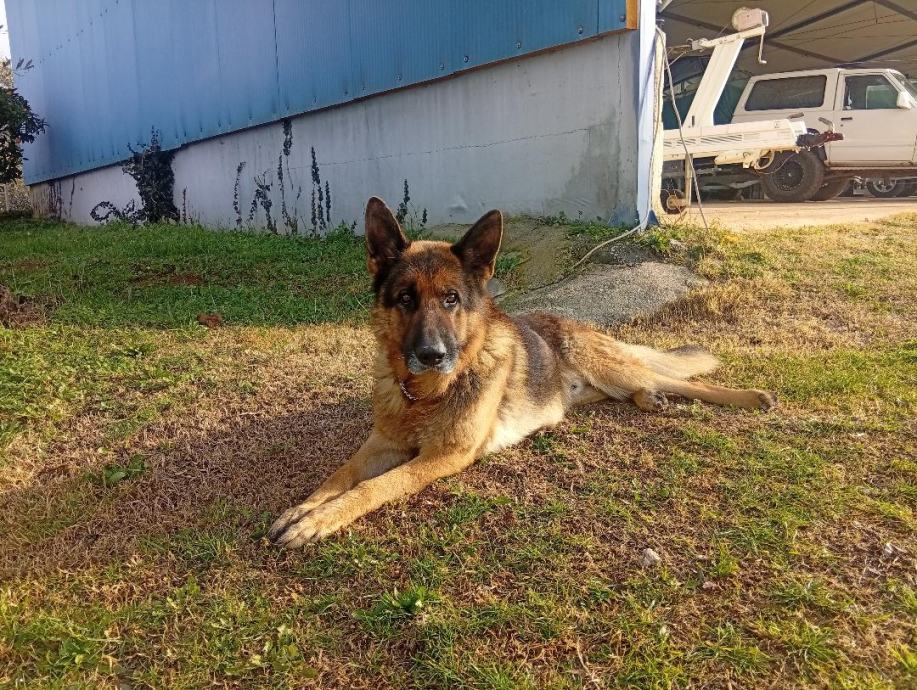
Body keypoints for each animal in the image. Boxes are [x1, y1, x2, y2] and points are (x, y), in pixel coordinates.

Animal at [269, 197, 776, 547]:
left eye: (451, 299)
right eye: (406, 299)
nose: (432, 354)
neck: (427, 392)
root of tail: (570, 321)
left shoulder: (443, 456)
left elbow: (374, 486)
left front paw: (318, 520)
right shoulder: (380, 444)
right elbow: (340, 475)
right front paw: (303, 509)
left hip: (609, 367)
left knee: (678, 378)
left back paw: (749, 396)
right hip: (588, 388)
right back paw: (648, 400)